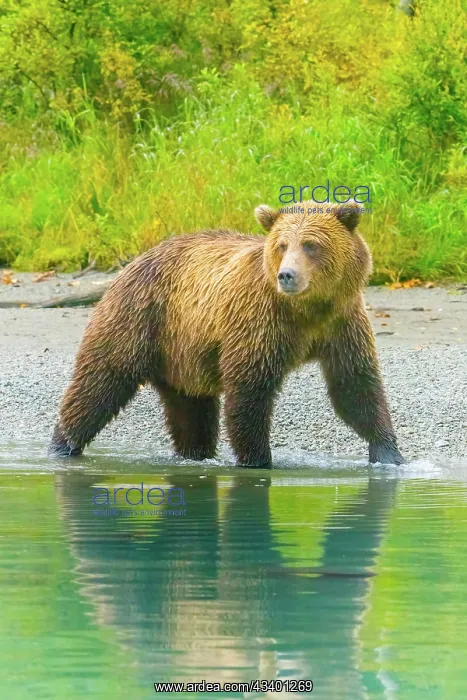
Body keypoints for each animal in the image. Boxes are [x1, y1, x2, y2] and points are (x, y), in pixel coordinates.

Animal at [50, 200, 404, 467]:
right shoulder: (260, 323)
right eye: (282, 245)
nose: (287, 275)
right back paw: (63, 444)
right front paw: (258, 459)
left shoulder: (342, 323)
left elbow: (355, 386)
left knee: (191, 410)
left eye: (311, 245)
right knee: (101, 381)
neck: (306, 310)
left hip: (182, 352)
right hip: (140, 318)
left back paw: (194, 453)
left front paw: (389, 453)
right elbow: (250, 392)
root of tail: (134, 262)